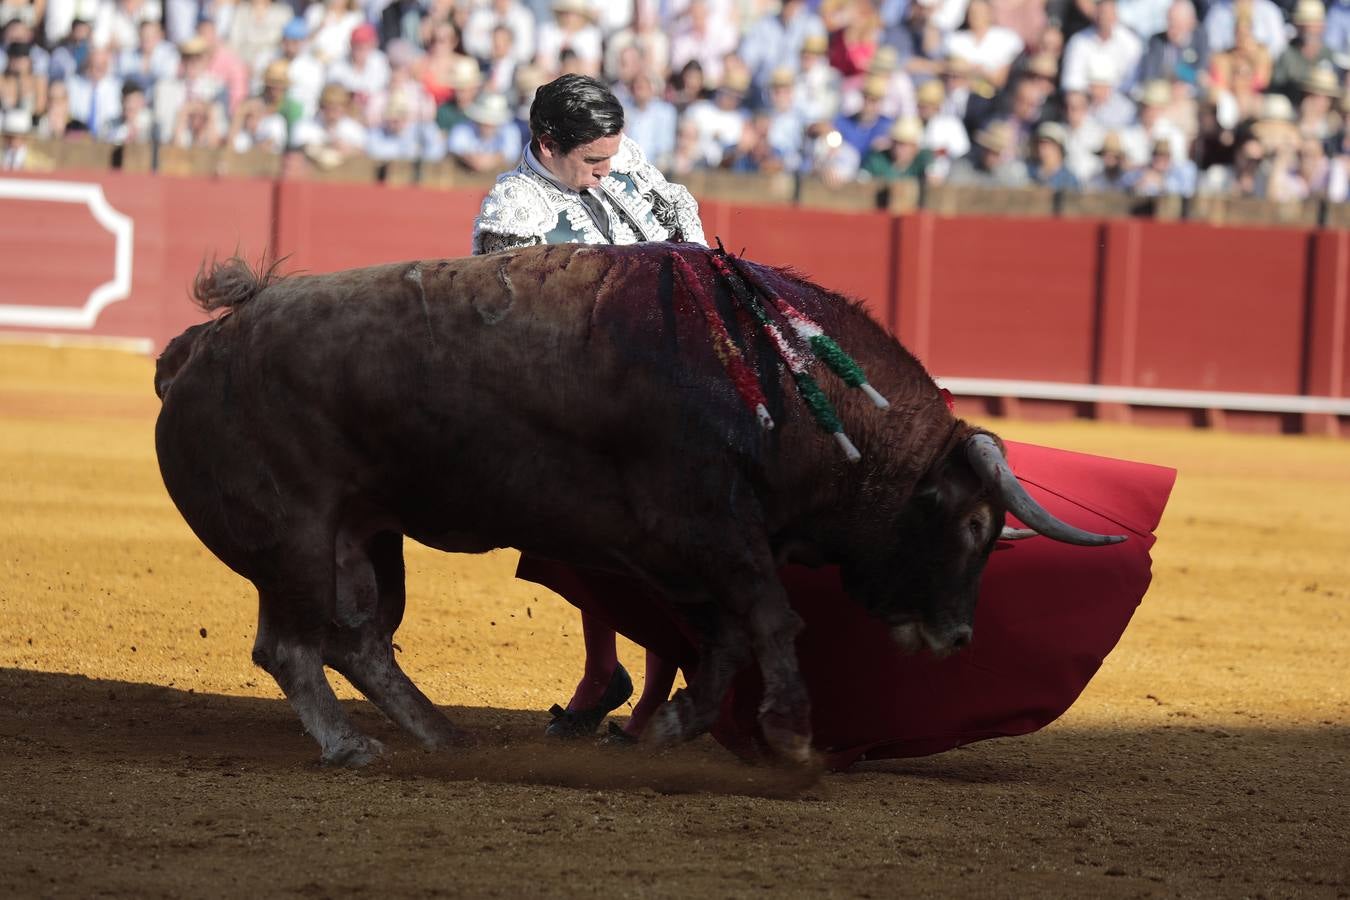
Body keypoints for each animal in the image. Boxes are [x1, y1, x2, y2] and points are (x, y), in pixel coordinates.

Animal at [153, 244, 1123, 766]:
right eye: (972, 524)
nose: (956, 637)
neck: (786, 387)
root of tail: (203, 343)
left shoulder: (698, 554)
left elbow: (724, 637)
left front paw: (672, 726)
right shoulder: (709, 533)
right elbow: (769, 620)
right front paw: (791, 735)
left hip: (367, 534)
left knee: (358, 638)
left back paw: (440, 736)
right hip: (295, 534)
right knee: (292, 645)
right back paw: (352, 746)